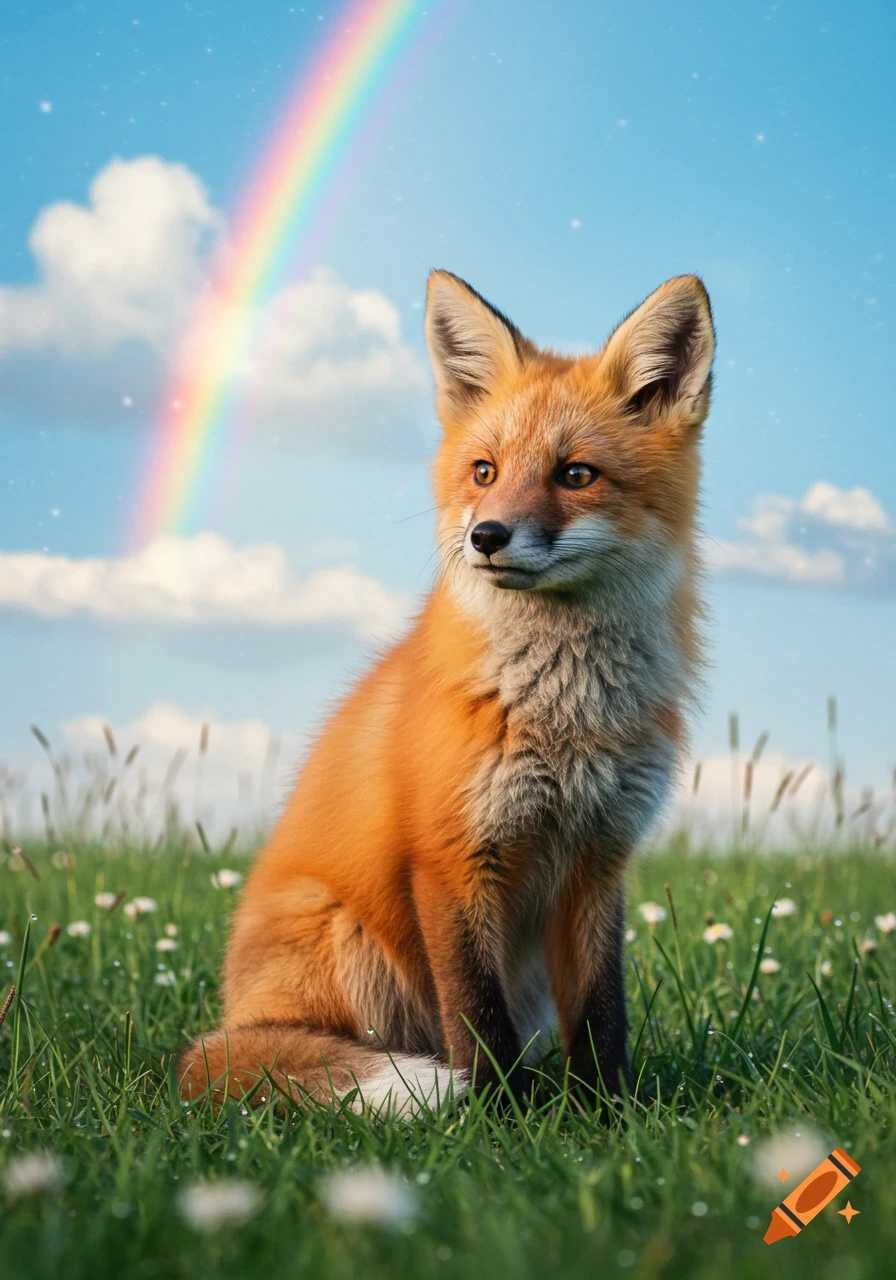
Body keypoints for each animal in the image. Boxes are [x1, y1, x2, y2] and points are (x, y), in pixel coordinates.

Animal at [178, 270, 714, 1114]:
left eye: (576, 474)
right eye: (484, 471)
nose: (486, 536)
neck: (567, 717)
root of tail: (229, 1023)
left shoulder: (600, 857)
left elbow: (603, 1014)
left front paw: (606, 1116)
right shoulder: (452, 858)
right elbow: (475, 1016)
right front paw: (496, 1118)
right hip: (350, 940)